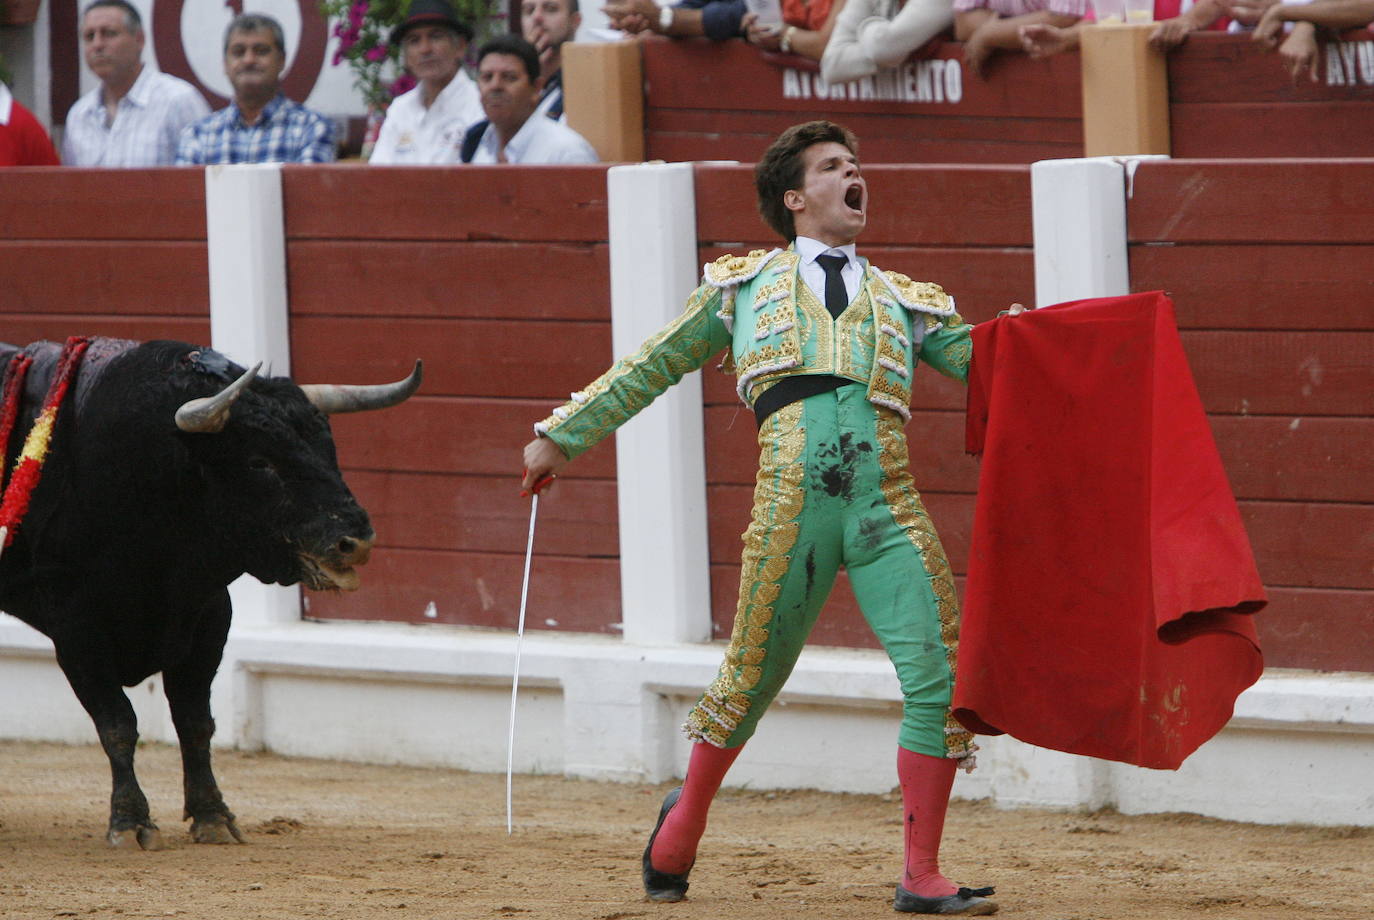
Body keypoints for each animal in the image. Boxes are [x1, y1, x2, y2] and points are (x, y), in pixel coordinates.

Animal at [0, 339, 420, 851]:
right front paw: (130, 822)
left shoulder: (207, 616)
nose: (355, 541)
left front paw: (213, 816)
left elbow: (195, 723)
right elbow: (117, 724)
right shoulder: (76, 628)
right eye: (261, 462)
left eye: (329, 449)